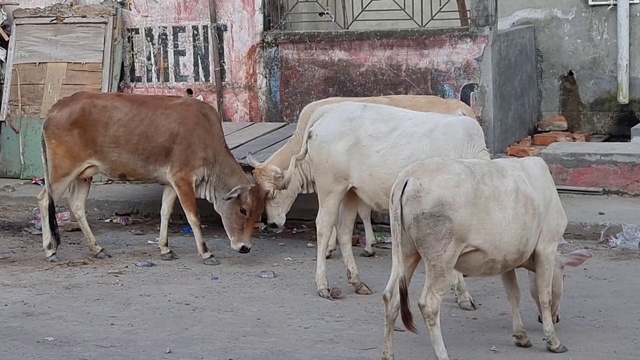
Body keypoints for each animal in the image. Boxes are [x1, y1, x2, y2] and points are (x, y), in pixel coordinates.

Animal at [36, 90, 266, 264]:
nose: (245, 247)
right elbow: (193, 217)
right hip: (62, 171)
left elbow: (165, 212)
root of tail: (56, 107)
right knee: (44, 199)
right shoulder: (183, 179)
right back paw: (50, 250)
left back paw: (98, 249)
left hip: (83, 174)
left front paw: (165, 249)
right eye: (243, 210)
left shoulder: (172, 182)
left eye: (259, 213)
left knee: (76, 205)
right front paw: (206, 253)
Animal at [248, 94, 478, 260]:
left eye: (272, 194)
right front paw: (368, 245)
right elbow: (362, 212)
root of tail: (462, 107)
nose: (271, 225)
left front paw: (333, 248)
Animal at [268, 102, 488, 300]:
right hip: (331, 187)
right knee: (323, 226)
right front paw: (462, 293)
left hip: (350, 192)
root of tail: (328, 111)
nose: (270, 223)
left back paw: (357, 282)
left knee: (344, 230)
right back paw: (323, 285)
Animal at [382, 157, 592, 360]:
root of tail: (408, 175)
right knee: (429, 304)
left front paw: (521, 336)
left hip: (406, 252)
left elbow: (513, 295)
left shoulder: (506, 258)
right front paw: (553, 341)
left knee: (391, 297)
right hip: (441, 259)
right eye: (563, 276)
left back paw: (388, 354)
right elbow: (544, 295)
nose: (557, 318)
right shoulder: (546, 246)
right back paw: (442, 354)